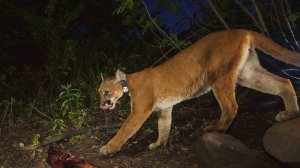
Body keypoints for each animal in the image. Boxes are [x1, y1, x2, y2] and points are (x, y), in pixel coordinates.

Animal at [98, 29, 298, 156]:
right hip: (248, 74)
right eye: (99, 92)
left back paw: (216, 128)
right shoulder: (165, 109)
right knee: (284, 82)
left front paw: (108, 148)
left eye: (106, 92)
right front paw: (158, 144)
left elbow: (125, 129)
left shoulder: (140, 110)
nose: (100, 104)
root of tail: (243, 30)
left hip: (219, 77)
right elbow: (164, 127)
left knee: (231, 105)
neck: (128, 83)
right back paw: (290, 113)